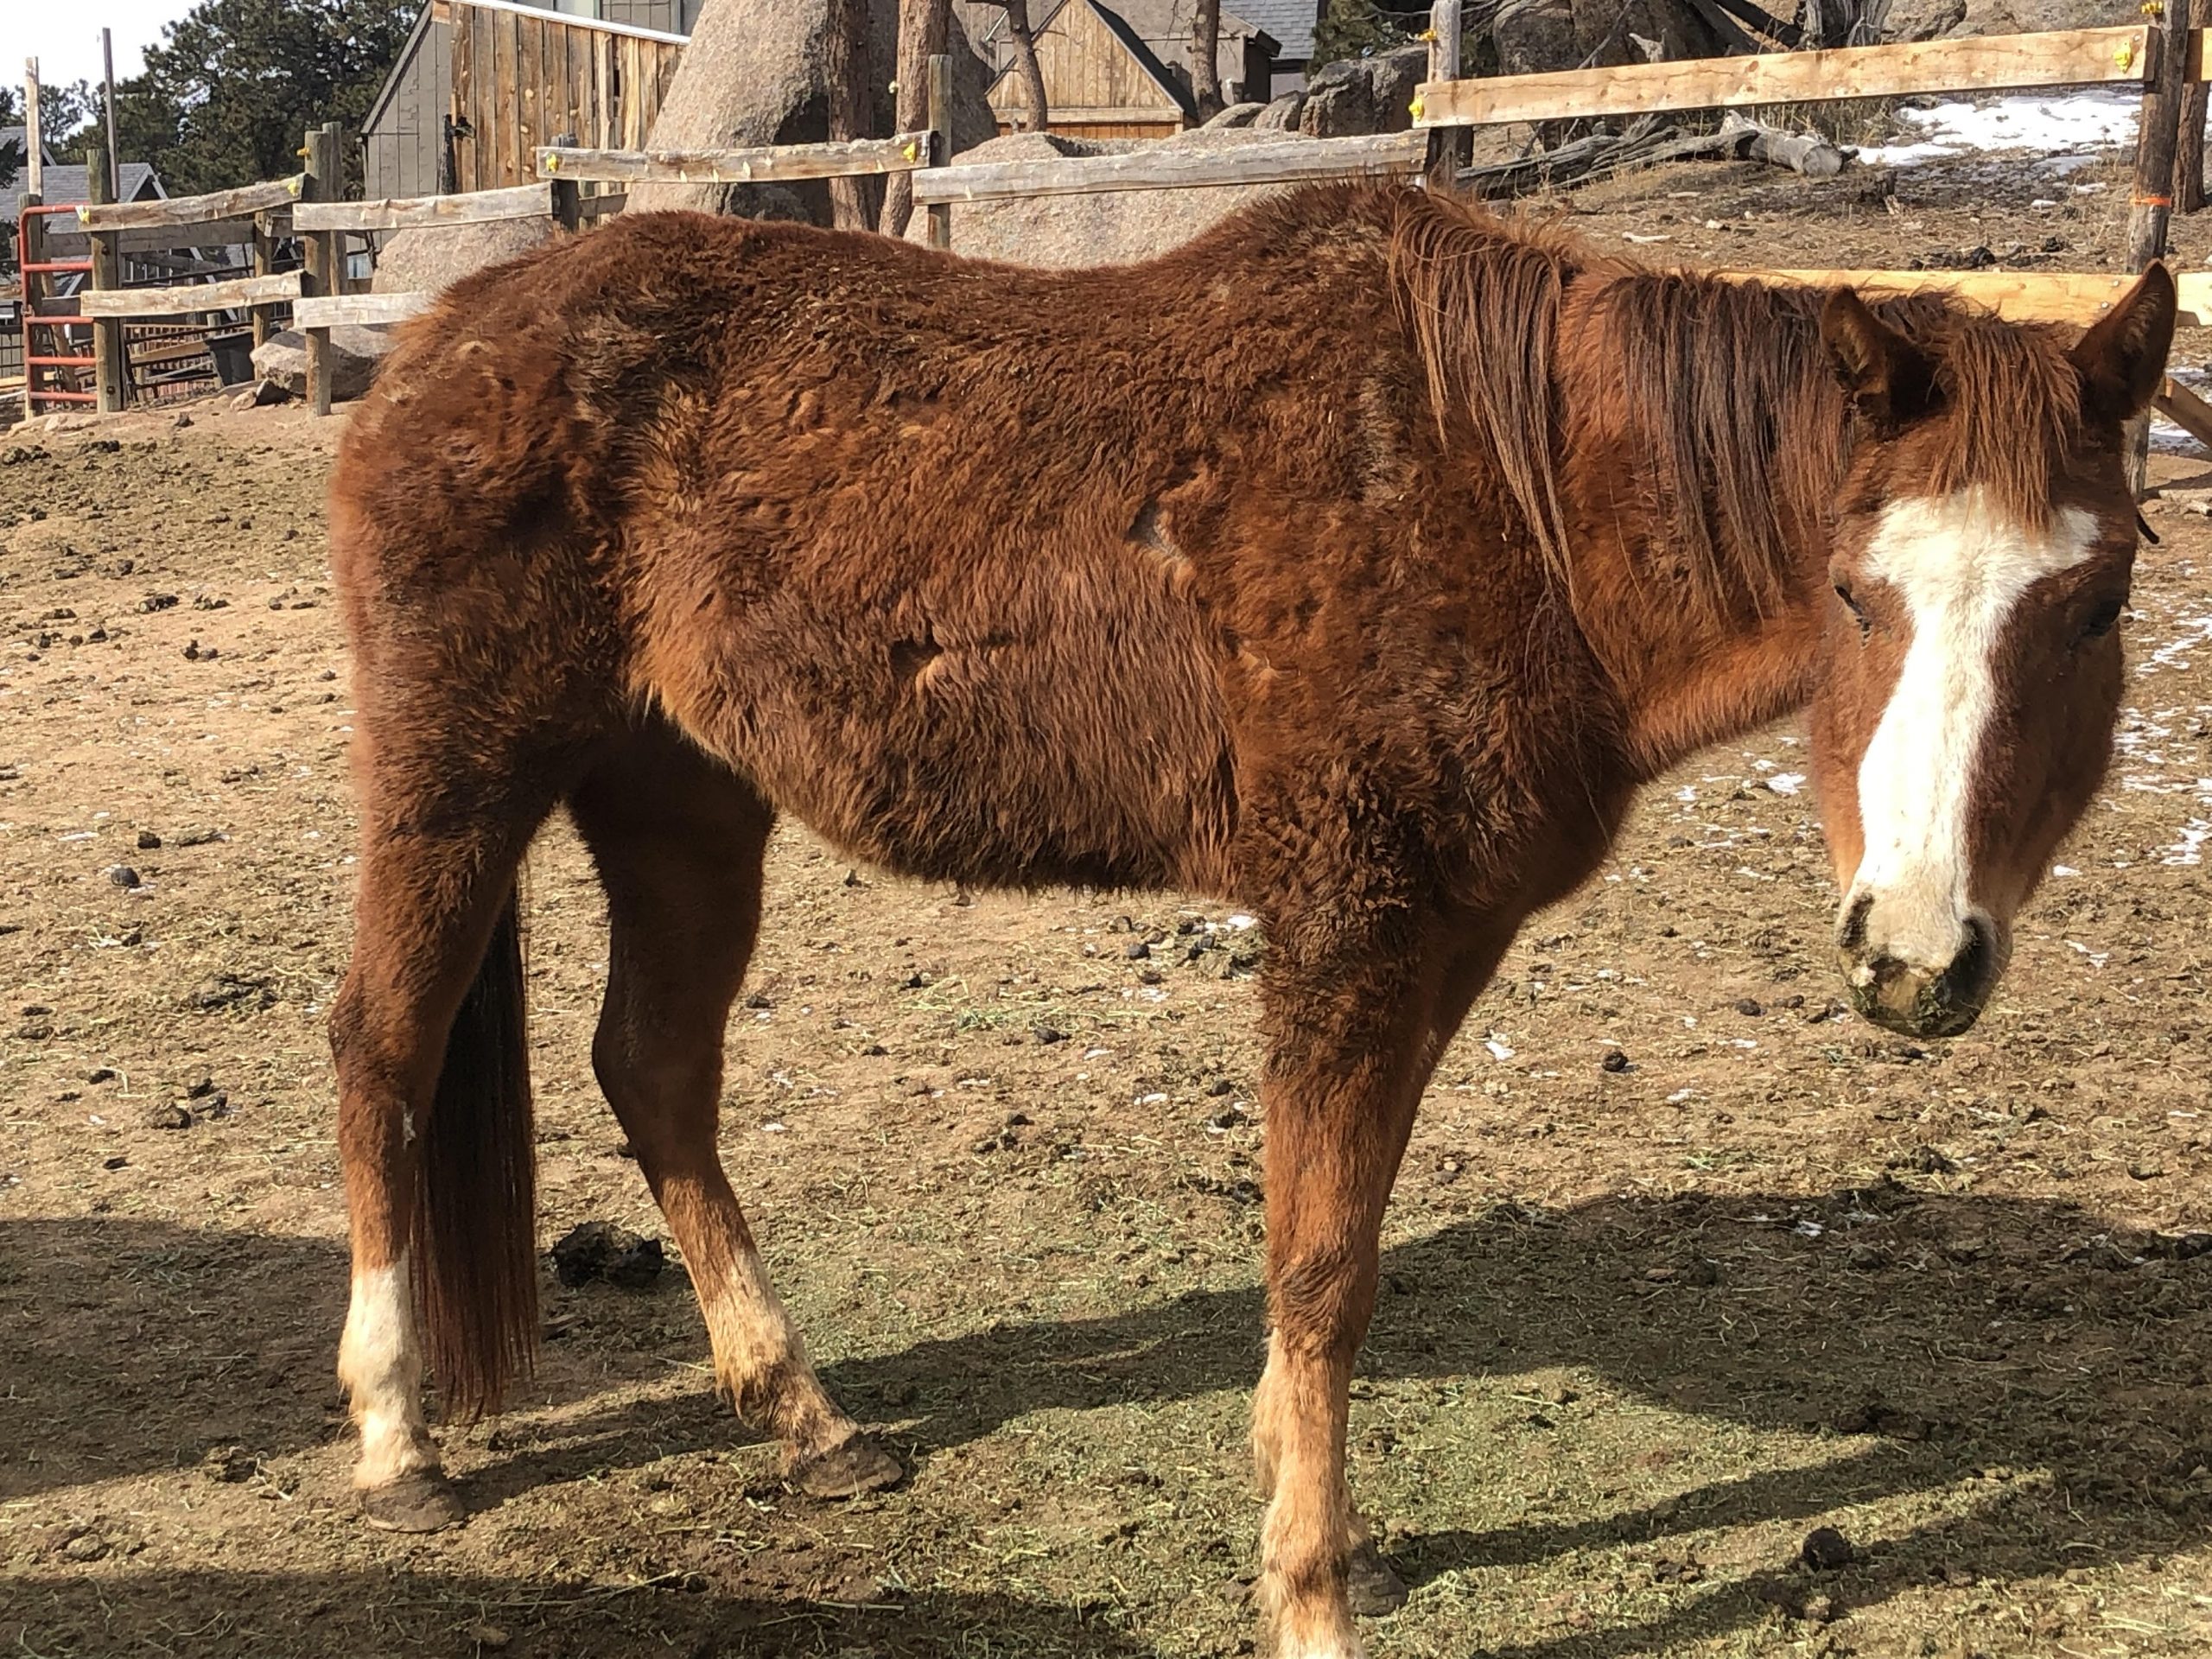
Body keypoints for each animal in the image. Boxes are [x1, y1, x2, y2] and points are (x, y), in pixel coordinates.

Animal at [327, 188, 2177, 1659]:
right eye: (1859, 592)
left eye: (2095, 607)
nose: (1914, 954)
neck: (1498, 491)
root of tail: (436, 337)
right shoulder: (1344, 924)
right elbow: (1318, 1264)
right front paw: (1309, 1597)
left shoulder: (1444, 937)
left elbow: (1338, 1247)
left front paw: (1308, 1511)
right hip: (457, 781)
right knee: (384, 1057)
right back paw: (397, 1441)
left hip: (683, 805)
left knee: (654, 1072)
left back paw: (810, 1421)